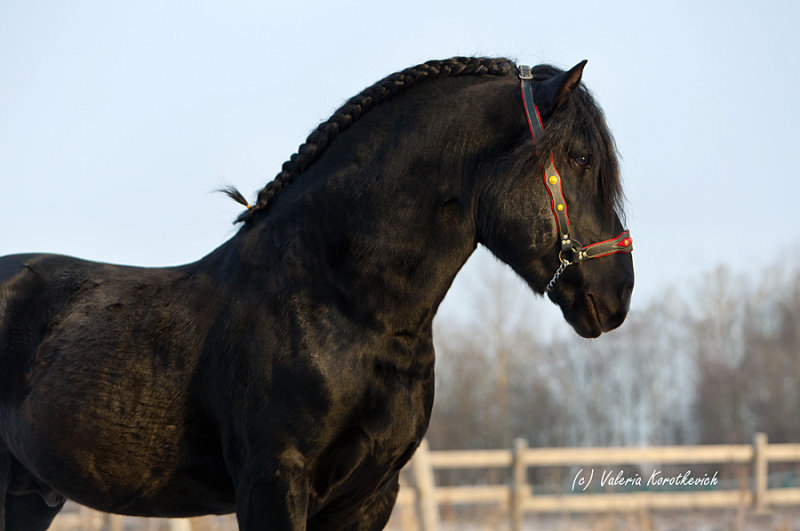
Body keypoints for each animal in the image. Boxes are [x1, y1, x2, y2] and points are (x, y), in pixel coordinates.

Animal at [1, 56, 636, 528]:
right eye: (580, 157)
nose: (619, 293)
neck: (339, 305)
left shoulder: (369, 497)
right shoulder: (273, 486)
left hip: (30, 497)